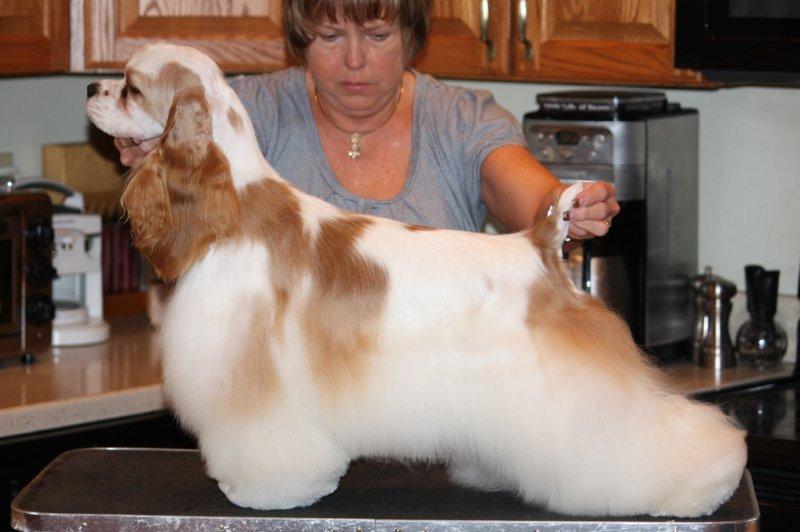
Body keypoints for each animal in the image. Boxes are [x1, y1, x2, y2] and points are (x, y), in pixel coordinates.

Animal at [84, 43, 748, 516]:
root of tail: (541, 247)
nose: (90, 85)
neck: (234, 204)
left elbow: (266, 444)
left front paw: (268, 492)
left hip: (575, 392)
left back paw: (705, 483)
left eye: (131, 86)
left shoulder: (253, 373)